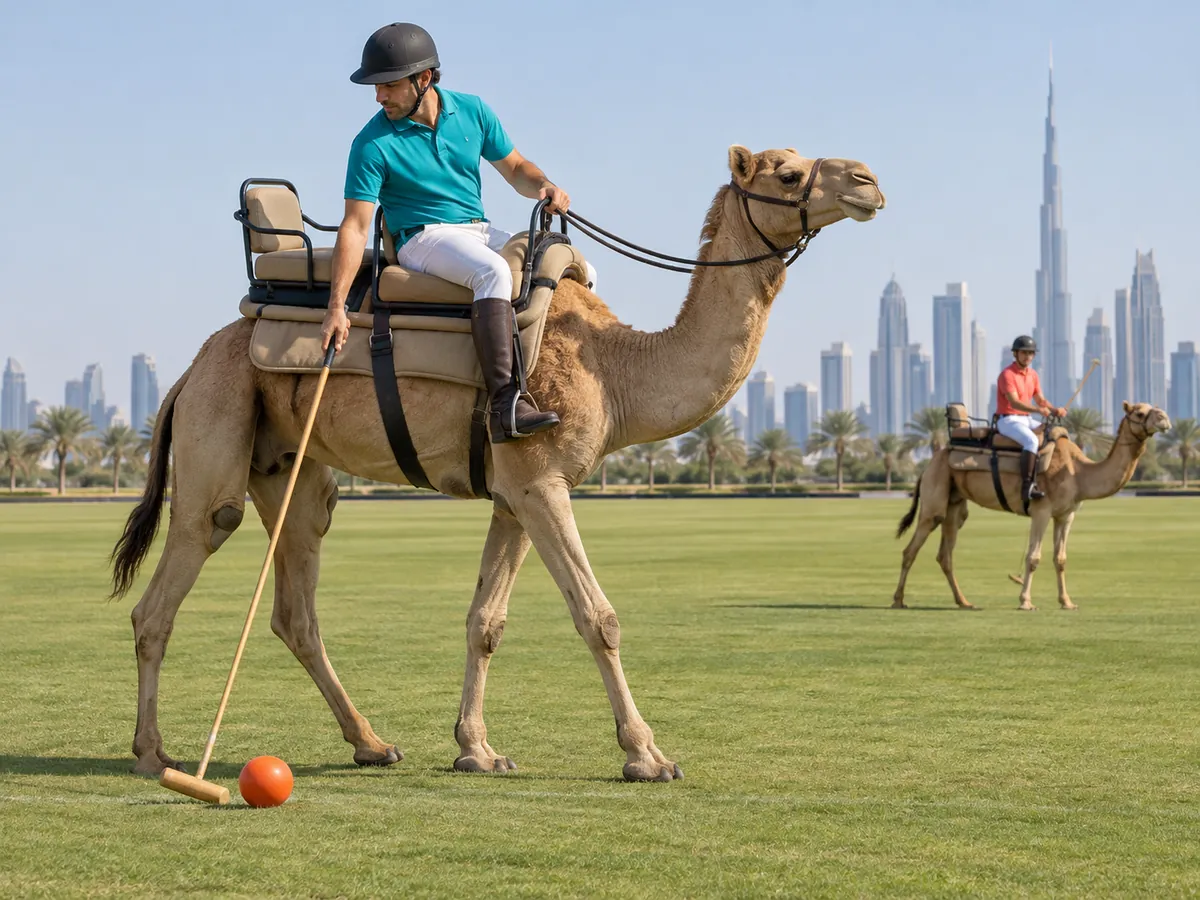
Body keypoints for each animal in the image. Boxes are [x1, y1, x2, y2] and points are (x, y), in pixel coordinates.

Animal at [110, 146, 885, 781]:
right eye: (789, 175)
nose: (868, 181)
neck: (614, 366)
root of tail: (189, 367)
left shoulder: (515, 493)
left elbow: (486, 620)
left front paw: (476, 750)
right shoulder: (543, 483)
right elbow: (597, 615)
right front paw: (647, 756)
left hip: (292, 472)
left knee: (297, 605)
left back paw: (371, 743)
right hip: (219, 424)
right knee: (173, 580)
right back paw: (153, 754)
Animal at [892, 402, 1170, 611]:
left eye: (1153, 407)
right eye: (1140, 412)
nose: (1165, 418)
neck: (1079, 472)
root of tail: (931, 462)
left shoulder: (1066, 515)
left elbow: (1060, 558)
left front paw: (1067, 602)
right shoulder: (1041, 510)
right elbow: (1033, 556)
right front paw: (1026, 601)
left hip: (956, 503)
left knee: (945, 553)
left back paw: (964, 602)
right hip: (935, 494)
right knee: (912, 547)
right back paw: (898, 600)